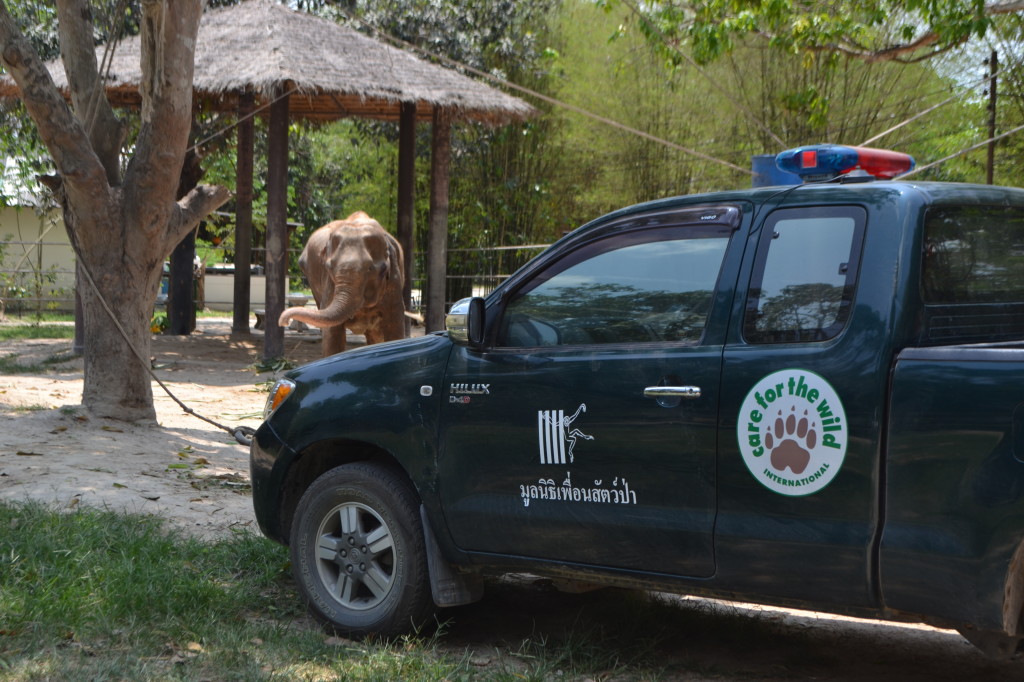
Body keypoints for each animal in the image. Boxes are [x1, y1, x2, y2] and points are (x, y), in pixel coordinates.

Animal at [282, 209, 409, 352]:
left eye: (371, 268)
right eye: (329, 267)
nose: (283, 321)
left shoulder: (393, 282)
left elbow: (395, 328)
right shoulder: (329, 284)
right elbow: (332, 335)